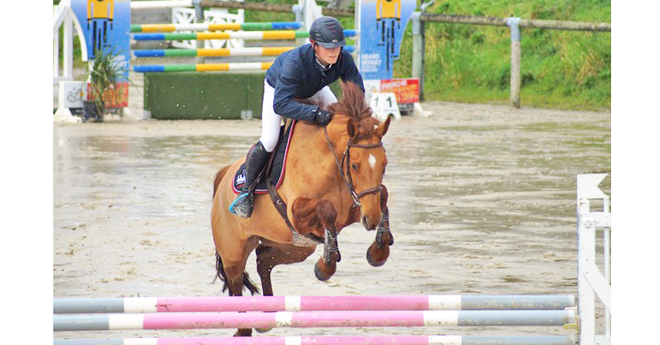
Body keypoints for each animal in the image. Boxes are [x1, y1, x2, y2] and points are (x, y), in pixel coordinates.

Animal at [213, 82, 392, 334]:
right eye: (355, 165)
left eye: (384, 165)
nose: (371, 219)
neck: (330, 163)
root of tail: (224, 175)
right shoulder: (298, 213)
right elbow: (327, 209)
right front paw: (327, 263)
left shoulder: (353, 207)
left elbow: (382, 194)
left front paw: (378, 251)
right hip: (233, 255)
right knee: (237, 282)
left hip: (294, 248)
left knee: (263, 260)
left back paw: (267, 314)